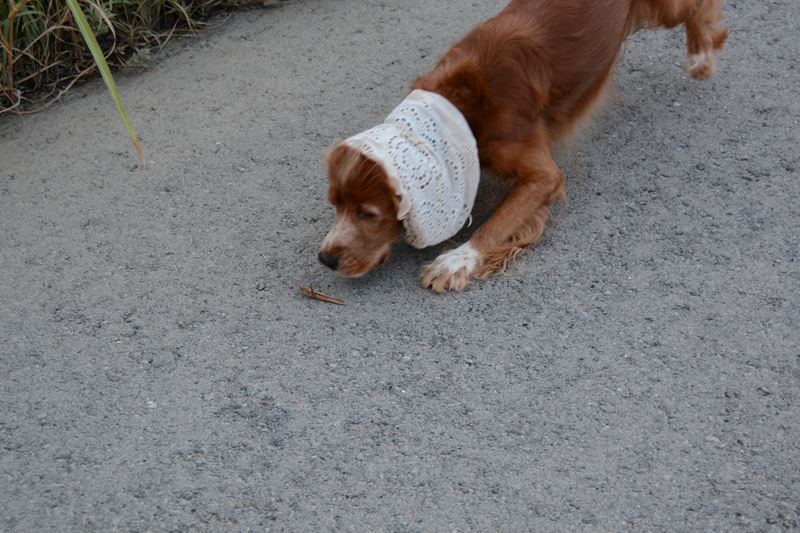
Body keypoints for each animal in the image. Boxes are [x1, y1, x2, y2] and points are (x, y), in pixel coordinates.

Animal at [319, 0, 727, 293]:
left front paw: (456, 261)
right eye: (336, 205)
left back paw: (701, 57)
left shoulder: (543, 174)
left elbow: (496, 223)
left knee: (695, 7)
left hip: (663, 10)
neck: (463, 103)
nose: (325, 259)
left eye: (368, 213)